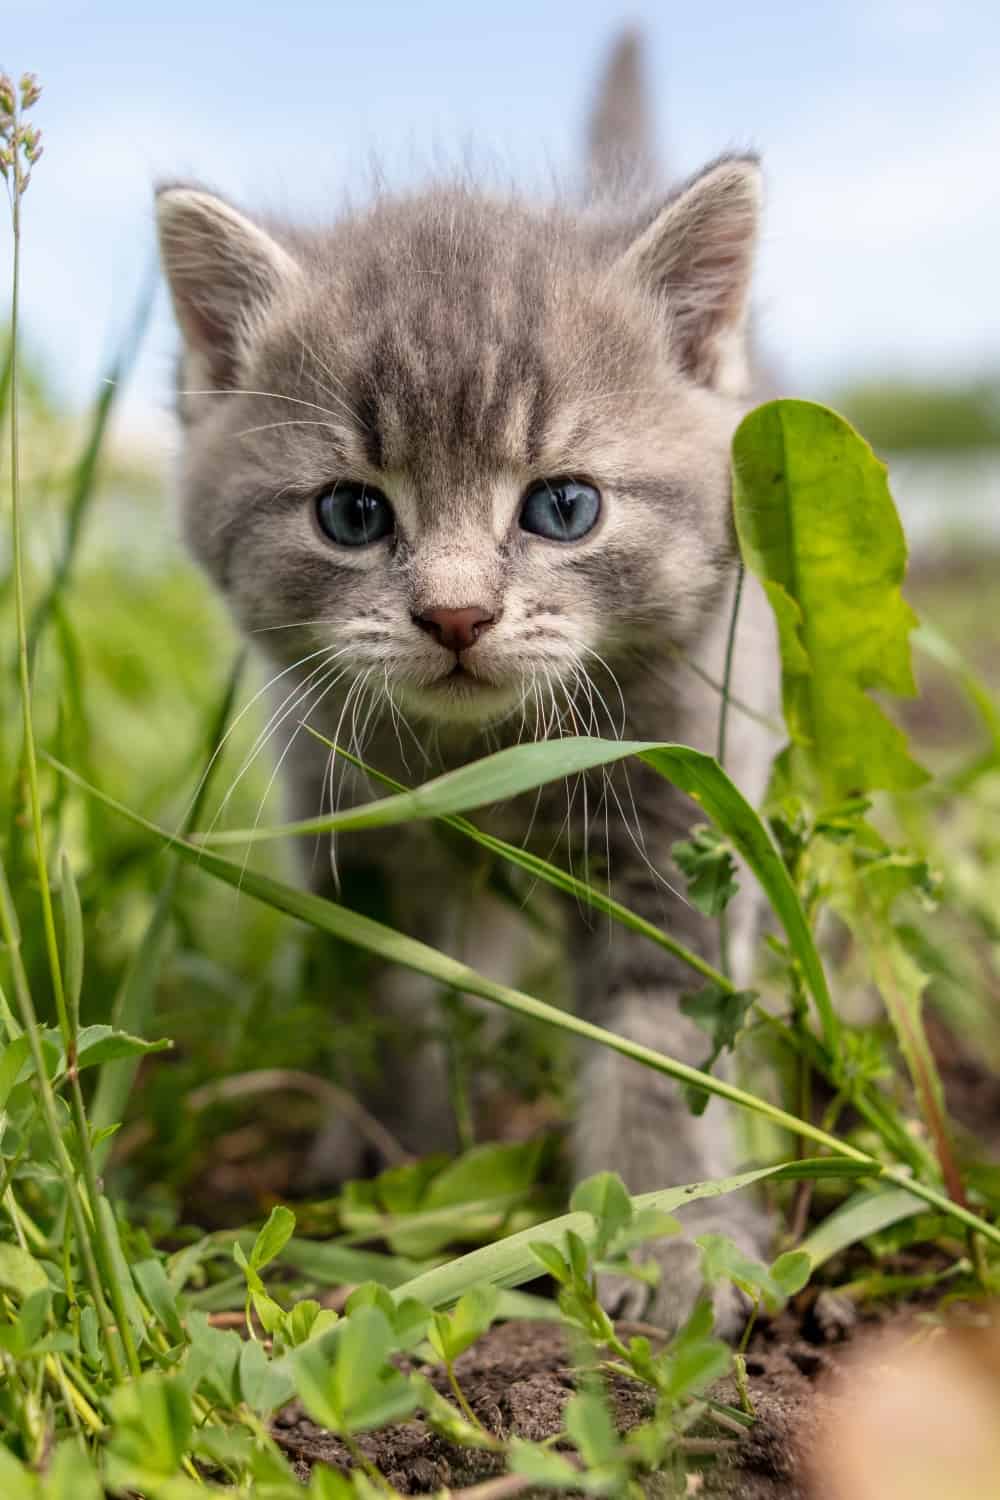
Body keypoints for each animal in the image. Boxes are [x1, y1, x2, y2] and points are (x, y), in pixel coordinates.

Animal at [158, 41, 779, 1332]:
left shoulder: (676, 823)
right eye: (352, 513)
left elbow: (661, 1036)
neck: (485, 762)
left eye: (564, 506)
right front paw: (396, 1160)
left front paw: (668, 1241)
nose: (454, 615)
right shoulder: (356, 835)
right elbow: (399, 999)